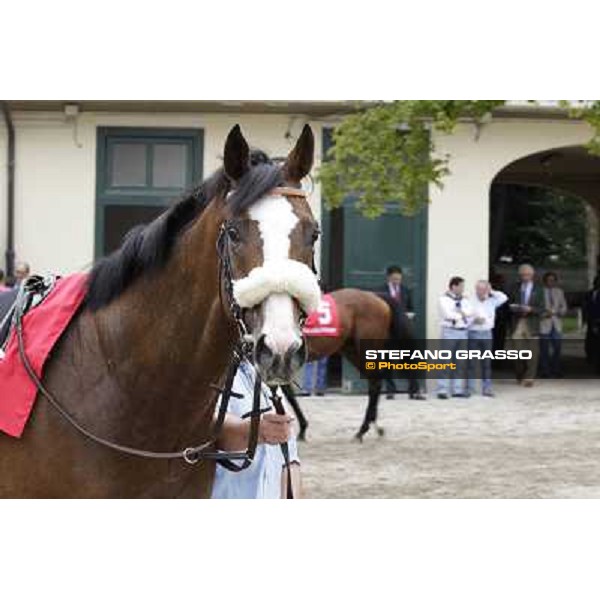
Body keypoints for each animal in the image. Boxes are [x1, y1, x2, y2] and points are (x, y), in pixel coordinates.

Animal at [282, 288, 420, 442]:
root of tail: (376, 296)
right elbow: (288, 394)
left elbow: (288, 395)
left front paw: (302, 430)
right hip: (352, 351)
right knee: (374, 383)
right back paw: (373, 427)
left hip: (366, 349)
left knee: (375, 383)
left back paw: (363, 429)